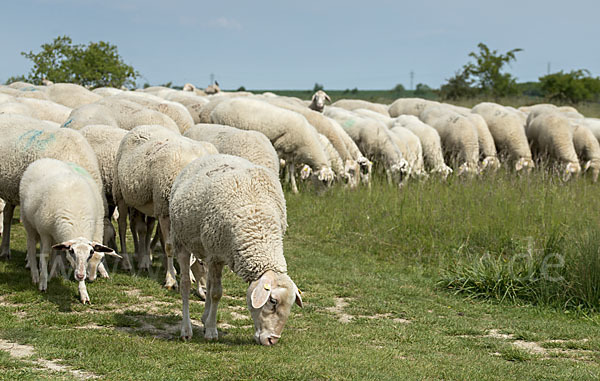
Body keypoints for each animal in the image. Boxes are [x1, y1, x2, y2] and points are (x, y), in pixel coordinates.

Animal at [20, 157, 120, 302]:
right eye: (71, 251)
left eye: (90, 253)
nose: (83, 276)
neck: (76, 219)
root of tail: (45, 159)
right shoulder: (45, 232)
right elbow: (44, 255)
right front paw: (43, 283)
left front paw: (83, 292)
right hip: (29, 223)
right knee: (32, 246)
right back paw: (35, 275)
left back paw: (53, 274)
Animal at [113, 124, 216, 288]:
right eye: (201, 263)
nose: (207, 290)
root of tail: (143, 126)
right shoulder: (164, 211)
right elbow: (169, 247)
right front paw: (171, 279)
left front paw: (188, 275)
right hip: (121, 194)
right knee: (122, 226)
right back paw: (127, 262)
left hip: (140, 199)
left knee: (142, 228)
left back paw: (143, 260)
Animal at [170, 153, 304, 342]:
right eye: (273, 301)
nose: (272, 340)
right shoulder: (216, 255)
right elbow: (216, 293)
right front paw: (212, 331)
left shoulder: (217, 255)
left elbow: (212, 288)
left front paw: (208, 324)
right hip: (181, 240)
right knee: (185, 284)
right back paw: (186, 329)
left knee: (208, 282)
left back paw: (204, 318)